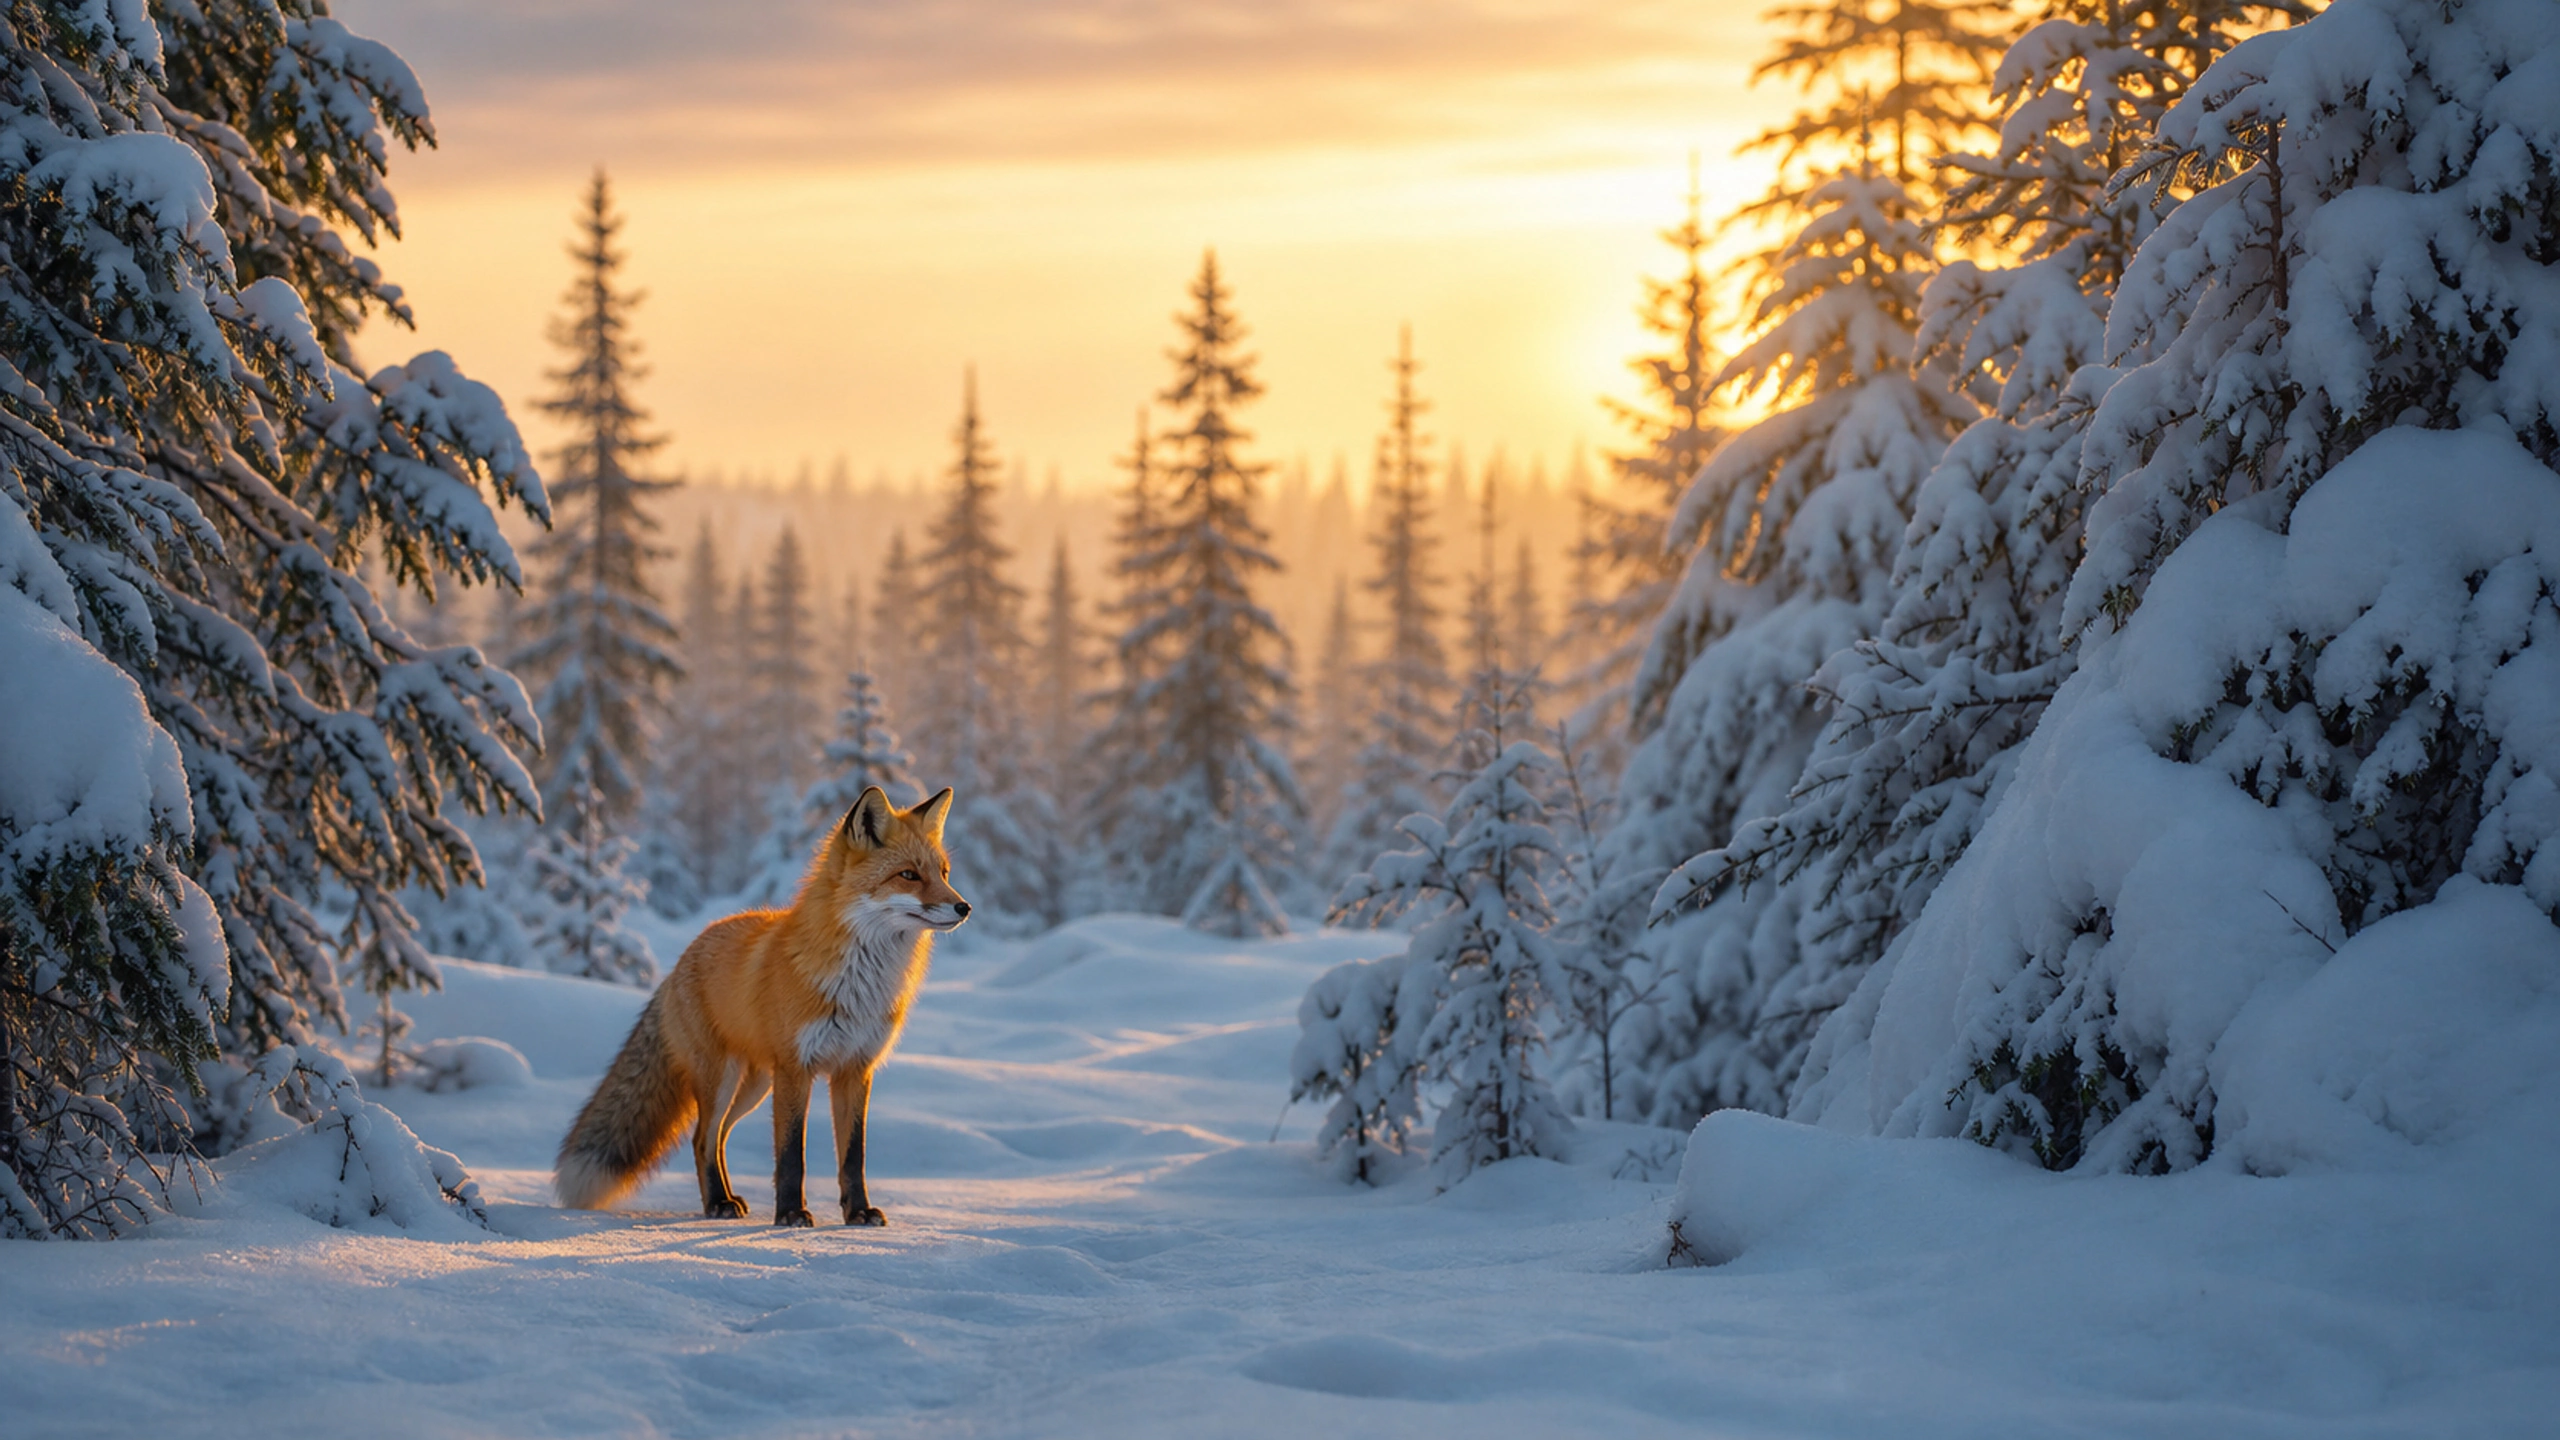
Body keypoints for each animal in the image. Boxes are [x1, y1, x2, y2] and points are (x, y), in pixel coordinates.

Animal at [554, 785, 968, 1227]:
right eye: (909, 875)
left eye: (944, 874)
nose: (965, 907)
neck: (859, 984)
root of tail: (679, 963)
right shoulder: (795, 1067)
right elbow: (790, 1155)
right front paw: (790, 1214)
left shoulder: (855, 1069)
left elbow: (853, 1157)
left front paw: (858, 1212)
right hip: (724, 1079)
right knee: (702, 1137)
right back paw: (718, 1204)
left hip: (753, 1087)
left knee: (714, 1137)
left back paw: (725, 1199)